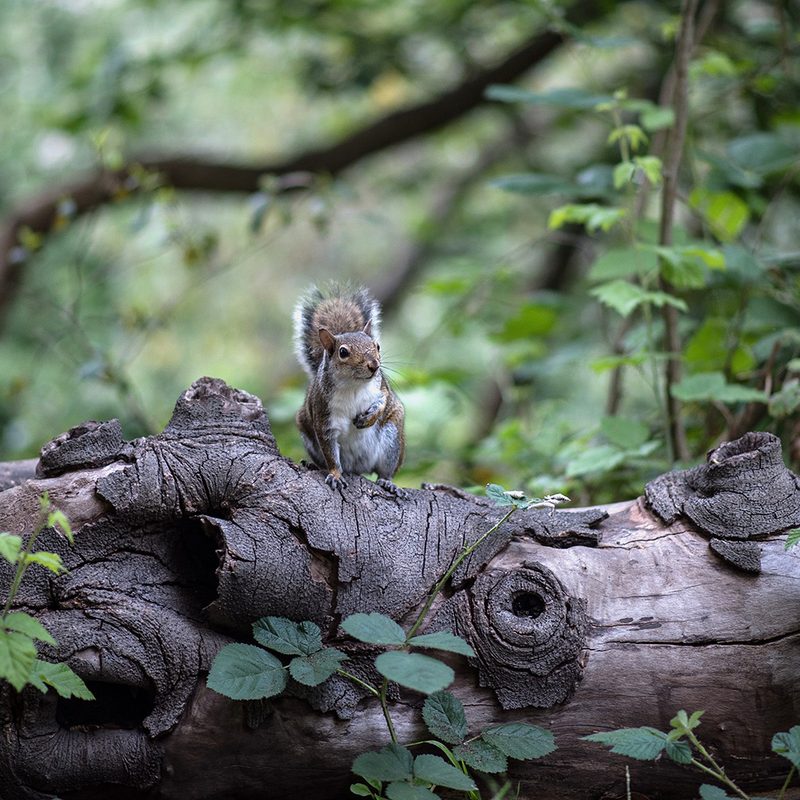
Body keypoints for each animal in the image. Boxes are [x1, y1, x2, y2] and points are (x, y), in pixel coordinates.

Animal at [293, 285, 407, 497]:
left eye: (377, 345)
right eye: (343, 352)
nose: (374, 365)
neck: (353, 385)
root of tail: (358, 468)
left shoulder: (381, 387)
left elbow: (383, 401)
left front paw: (368, 419)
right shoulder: (323, 416)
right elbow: (331, 455)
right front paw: (335, 475)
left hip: (392, 439)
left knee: (385, 471)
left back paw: (388, 483)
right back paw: (315, 465)